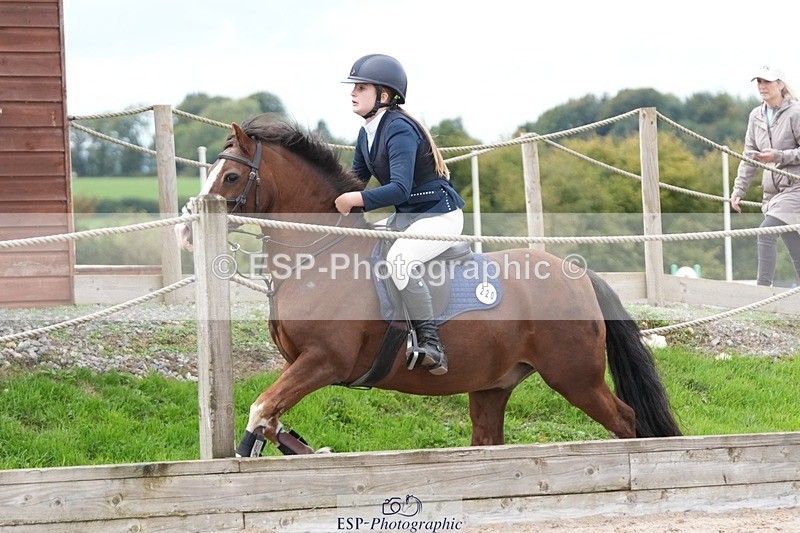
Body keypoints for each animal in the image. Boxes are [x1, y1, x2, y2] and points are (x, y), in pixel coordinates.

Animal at [175, 115, 681, 455]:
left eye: (231, 176)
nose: (184, 231)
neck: (318, 256)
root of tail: (579, 275)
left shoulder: (323, 361)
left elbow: (261, 411)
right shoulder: (298, 363)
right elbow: (271, 422)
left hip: (575, 377)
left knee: (626, 422)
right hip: (493, 384)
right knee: (487, 438)